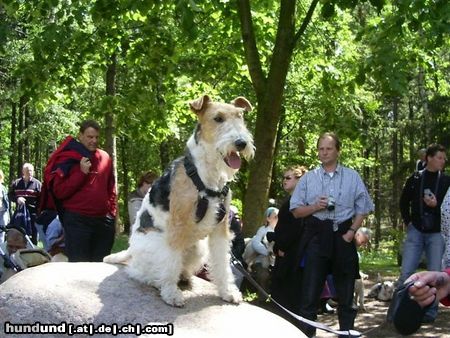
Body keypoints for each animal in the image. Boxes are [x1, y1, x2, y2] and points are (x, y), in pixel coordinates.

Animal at [103, 95, 255, 306]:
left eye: (240, 116)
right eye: (218, 118)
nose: (241, 143)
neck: (206, 175)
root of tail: (130, 249)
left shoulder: (220, 228)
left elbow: (222, 262)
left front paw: (227, 292)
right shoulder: (178, 223)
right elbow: (171, 263)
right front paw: (171, 294)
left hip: (197, 248)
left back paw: (183, 277)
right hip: (156, 243)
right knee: (139, 271)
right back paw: (158, 282)